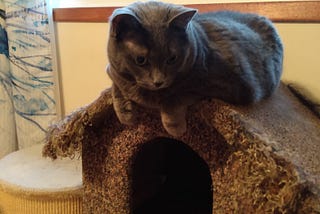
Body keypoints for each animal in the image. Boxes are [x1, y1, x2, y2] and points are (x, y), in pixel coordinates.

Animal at [107, 0, 282, 136]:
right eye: (140, 60)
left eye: (172, 59)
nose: (159, 81)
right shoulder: (112, 70)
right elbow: (116, 84)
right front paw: (125, 115)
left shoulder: (227, 84)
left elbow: (177, 94)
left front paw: (175, 127)